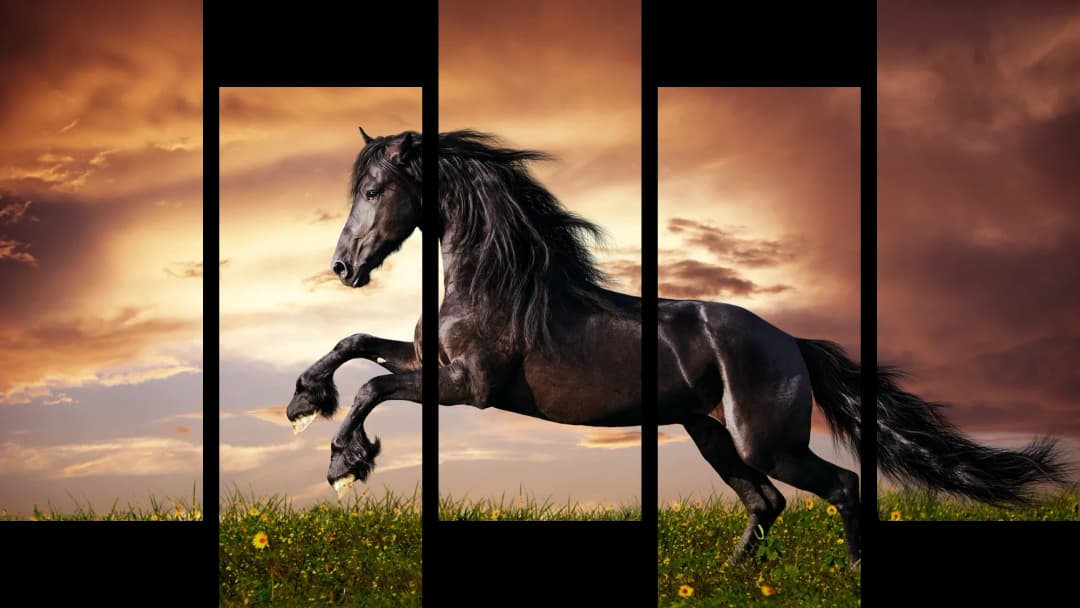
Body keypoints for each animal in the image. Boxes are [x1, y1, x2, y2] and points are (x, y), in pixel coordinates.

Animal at [285, 128, 1069, 566]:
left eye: (376, 190)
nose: (343, 267)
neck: (496, 282)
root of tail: (792, 343)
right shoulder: (431, 364)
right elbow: (357, 344)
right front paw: (303, 401)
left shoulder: (465, 387)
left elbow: (372, 386)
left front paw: (345, 462)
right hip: (709, 433)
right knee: (766, 504)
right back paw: (728, 578)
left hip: (763, 440)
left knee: (838, 487)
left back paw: (842, 575)